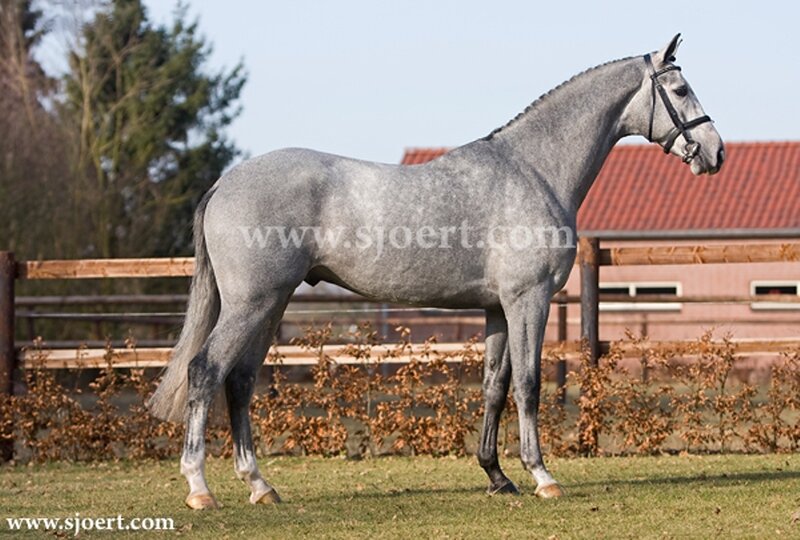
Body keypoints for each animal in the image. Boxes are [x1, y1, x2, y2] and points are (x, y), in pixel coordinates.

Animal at [147, 34, 724, 509]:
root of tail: (226, 182)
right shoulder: (528, 300)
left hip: (271, 303)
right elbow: (529, 384)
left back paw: (260, 486)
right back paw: (199, 488)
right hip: (252, 303)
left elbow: (494, 385)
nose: (715, 153)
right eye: (680, 88)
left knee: (240, 380)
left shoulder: (497, 309)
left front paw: (497, 476)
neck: (534, 170)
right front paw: (541, 476)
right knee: (206, 371)